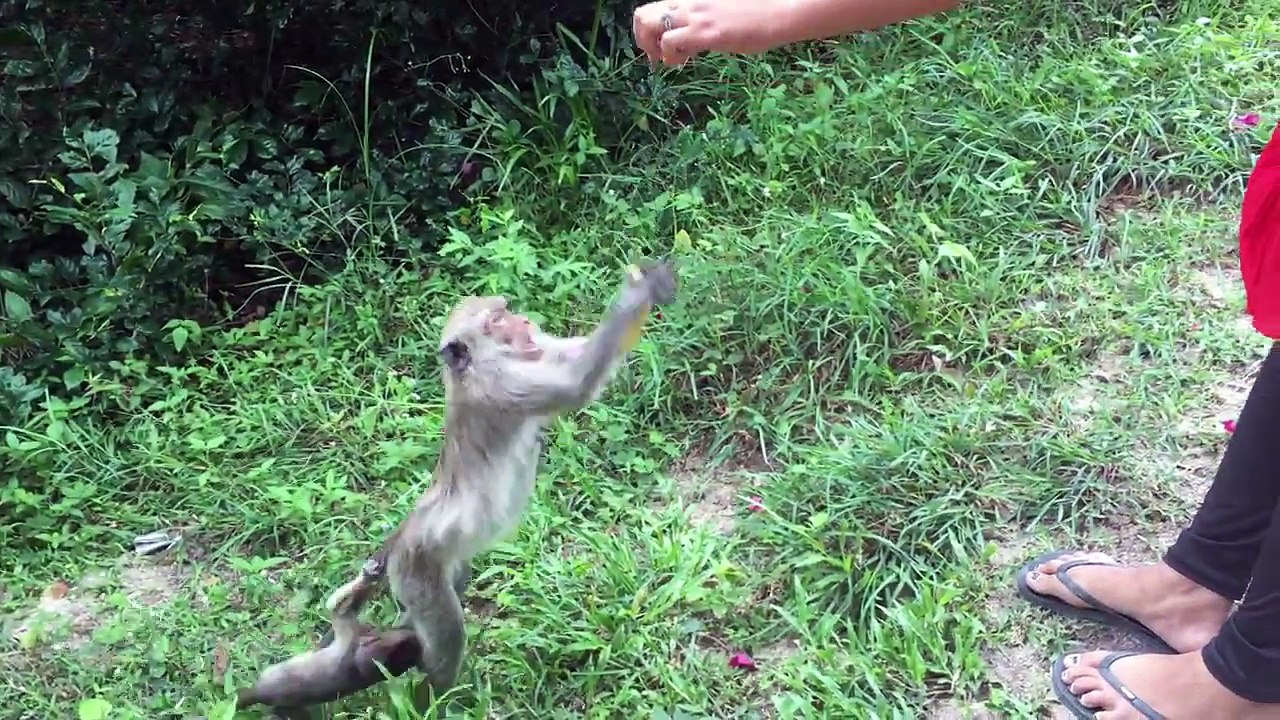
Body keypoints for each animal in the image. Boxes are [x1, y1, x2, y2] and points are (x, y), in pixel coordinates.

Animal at [235, 259, 679, 715]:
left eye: (506, 310)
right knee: (444, 637)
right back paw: (430, 696)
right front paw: (638, 292)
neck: (473, 369)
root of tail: (402, 543)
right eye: (497, 320)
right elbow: (577, 382)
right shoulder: (499, 382)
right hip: (419, 572)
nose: (524, 322)